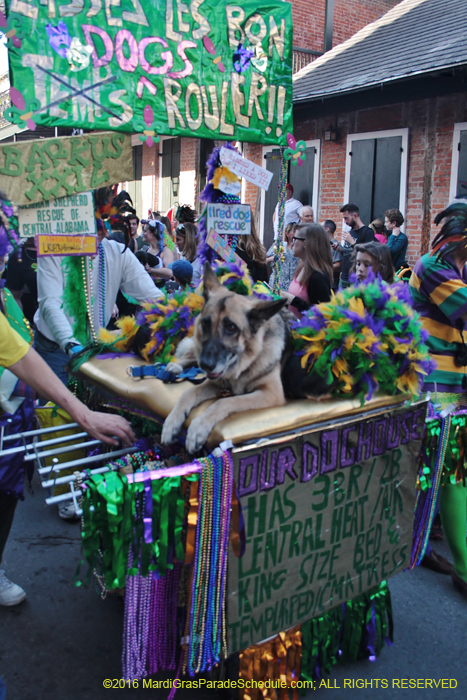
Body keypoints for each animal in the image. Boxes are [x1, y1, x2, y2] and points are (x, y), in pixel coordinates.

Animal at [162, 262, 288, 454]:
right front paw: (171, 423)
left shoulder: (271, 394)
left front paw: (198, 427)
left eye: (231, 327)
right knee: (190, 357)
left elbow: (225, 402)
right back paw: (176, 366)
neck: (246, 363)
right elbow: (188, 392)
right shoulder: (214, 382)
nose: (206, 365)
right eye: (205, 323)